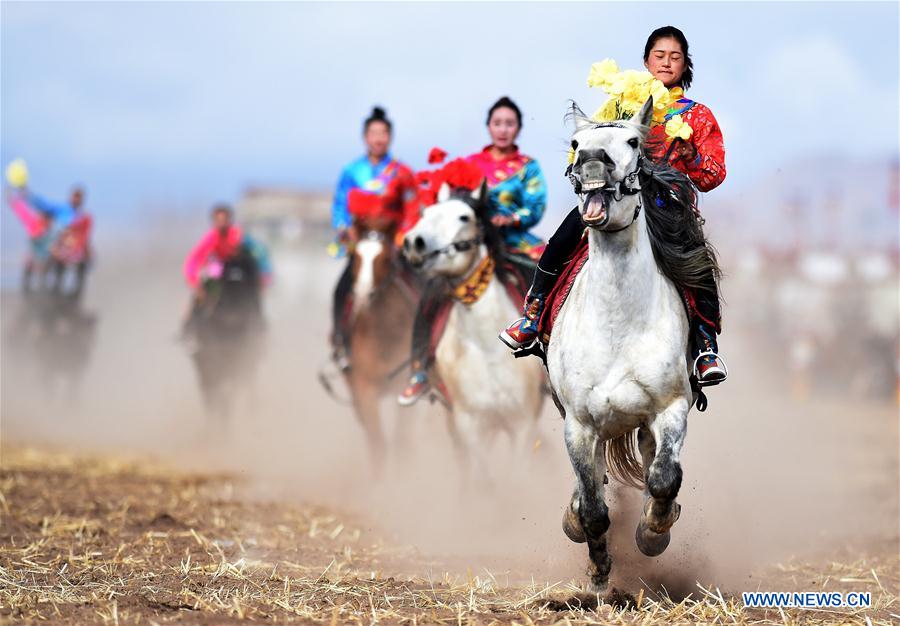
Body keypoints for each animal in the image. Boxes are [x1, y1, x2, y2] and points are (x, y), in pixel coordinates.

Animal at [404, 180, 544, 478]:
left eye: (464, 217)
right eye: (426, 212)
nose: (413, 243)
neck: (488, 349)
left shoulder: (523, 424)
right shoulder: (468, 425)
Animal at [544, 100, 720, 592]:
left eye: (632, 141)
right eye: (576, 143)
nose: (591, 164)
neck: (617, 324)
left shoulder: (670, 408)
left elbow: (663, 477)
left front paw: (653, 532)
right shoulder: (579, 424)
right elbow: (593, 508)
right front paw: (598, 572)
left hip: (644, 422)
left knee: (650, 464)